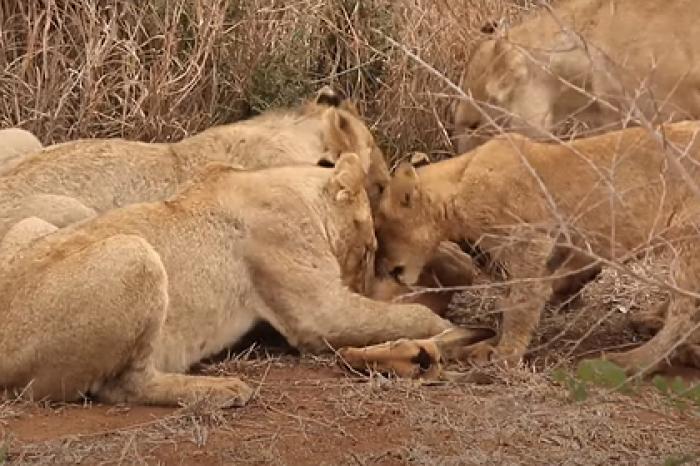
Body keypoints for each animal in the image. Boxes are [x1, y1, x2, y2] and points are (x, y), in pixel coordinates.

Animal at [0, 155, 494, 406]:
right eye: (369, 248)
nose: (367, 281)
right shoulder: (319, 312)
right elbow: (411, 314)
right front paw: (449, 334)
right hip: (134, 254)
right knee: (118, 387)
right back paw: (220, 390)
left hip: (35, 224)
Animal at [366, 123, 700, 374]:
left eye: (381, 228)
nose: (380, 268)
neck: (459, 183)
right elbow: (517, 297)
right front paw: (488, 345)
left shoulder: (532, 241)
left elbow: (522, 301)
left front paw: (505, 355)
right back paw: (651, 322)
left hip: (688, 236)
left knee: (684, 314)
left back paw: (631, 362)